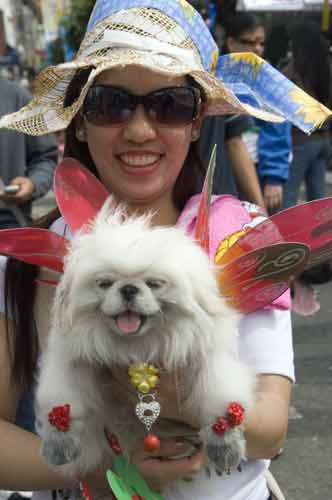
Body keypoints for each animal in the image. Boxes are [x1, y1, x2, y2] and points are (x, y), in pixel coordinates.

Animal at [35, 198, 255, 484]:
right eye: (104, 283)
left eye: (154, 284)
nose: (128, 288)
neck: (139, 344)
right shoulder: (72, 363)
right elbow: (62, 400)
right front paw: (59, 443)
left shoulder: (208, 359)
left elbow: (218, 397)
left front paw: (225, 444)